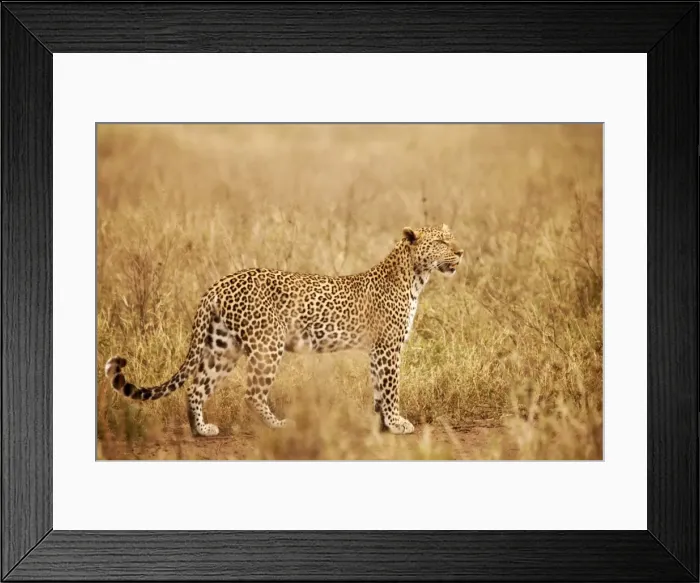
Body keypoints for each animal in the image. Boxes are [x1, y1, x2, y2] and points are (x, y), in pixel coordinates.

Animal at [104, 223, 464, 436]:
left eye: (452, 239)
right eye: (441, 241)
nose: (461, 252)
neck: (416, 277)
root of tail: (218, 284)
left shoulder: (378, 350)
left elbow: (379, 388)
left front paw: (382, 424)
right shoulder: (388, 347)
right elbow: (390, 388)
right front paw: (396, 422)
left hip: (223, 348)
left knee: (196, 388)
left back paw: (201, 429)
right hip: (267, 345)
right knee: (252, 393)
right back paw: (278, 425)